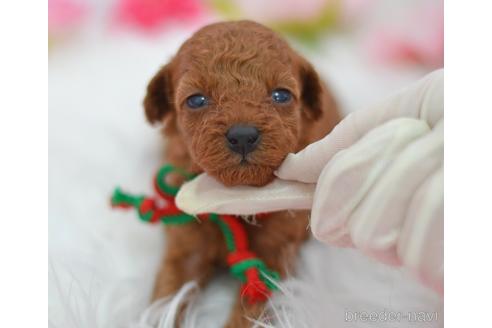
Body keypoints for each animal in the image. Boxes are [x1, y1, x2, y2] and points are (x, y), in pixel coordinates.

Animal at [144, 21, 340, 328]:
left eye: (281, 95)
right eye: (196, 100)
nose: (244, 136)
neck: (235, 198)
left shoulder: (272, 258)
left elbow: (251, 312)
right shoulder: (186, 246)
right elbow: (167, 300)